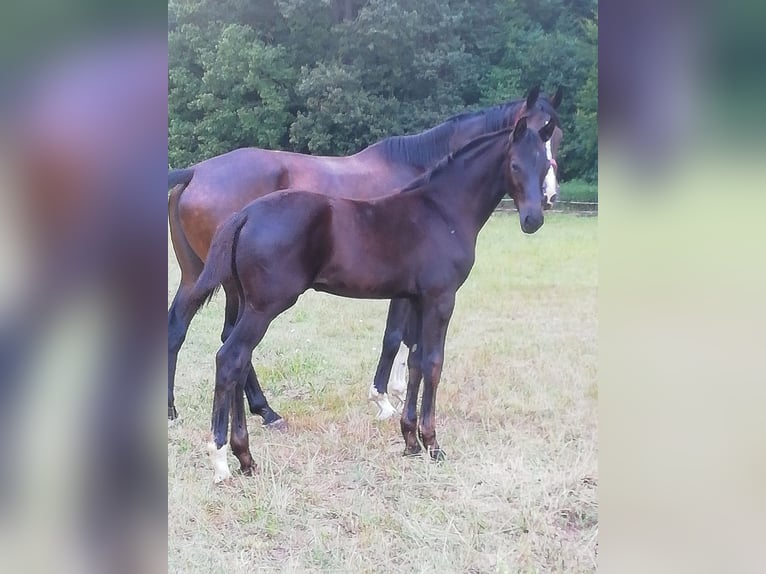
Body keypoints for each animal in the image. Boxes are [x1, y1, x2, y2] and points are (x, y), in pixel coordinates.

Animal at [188, 116, 556, 482]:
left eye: (546, 164)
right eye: (515, 165)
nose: (534, 219)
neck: (442, 210)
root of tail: (245, 215)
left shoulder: (417, 299)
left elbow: (415, 361)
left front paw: (410, 441)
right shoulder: (440, 299)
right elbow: (433, 363)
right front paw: (432, 444)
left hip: (244, 304)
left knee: (238, 362)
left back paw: (245, 458)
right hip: (264, 307)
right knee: (230, 359)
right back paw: (221, 459)